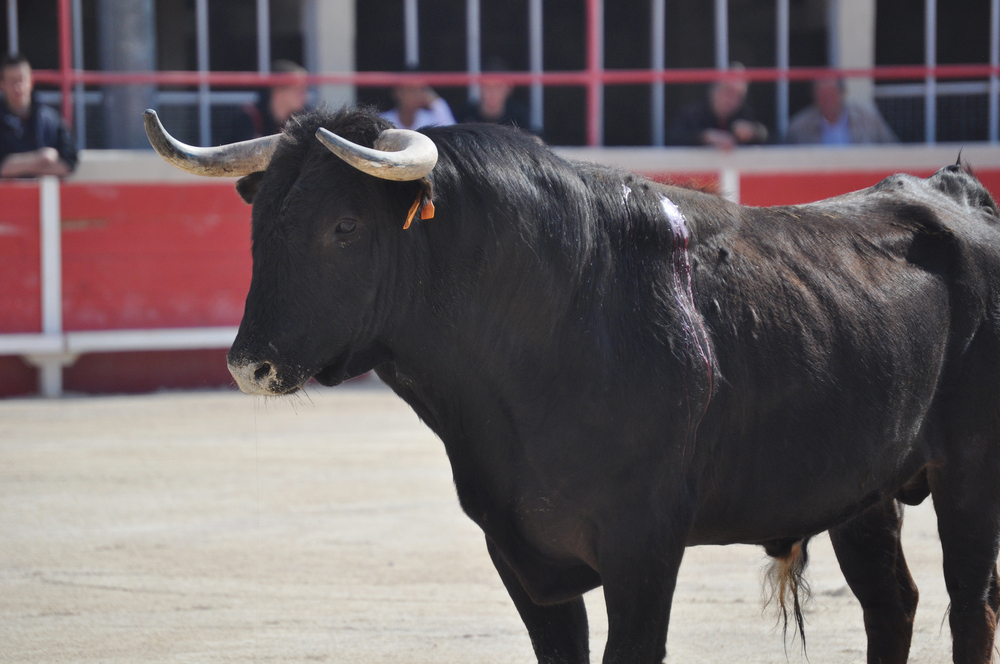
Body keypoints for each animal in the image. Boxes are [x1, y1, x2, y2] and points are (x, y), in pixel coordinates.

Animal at [145, 110, 1000, 664]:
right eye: (260, 227)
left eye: (344, 227)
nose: (248, 365)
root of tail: (957, 190)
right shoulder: (523, 559)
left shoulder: (643, 550)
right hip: (864, 490)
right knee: (893, 607)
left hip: (969, 477)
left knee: (969, 607)